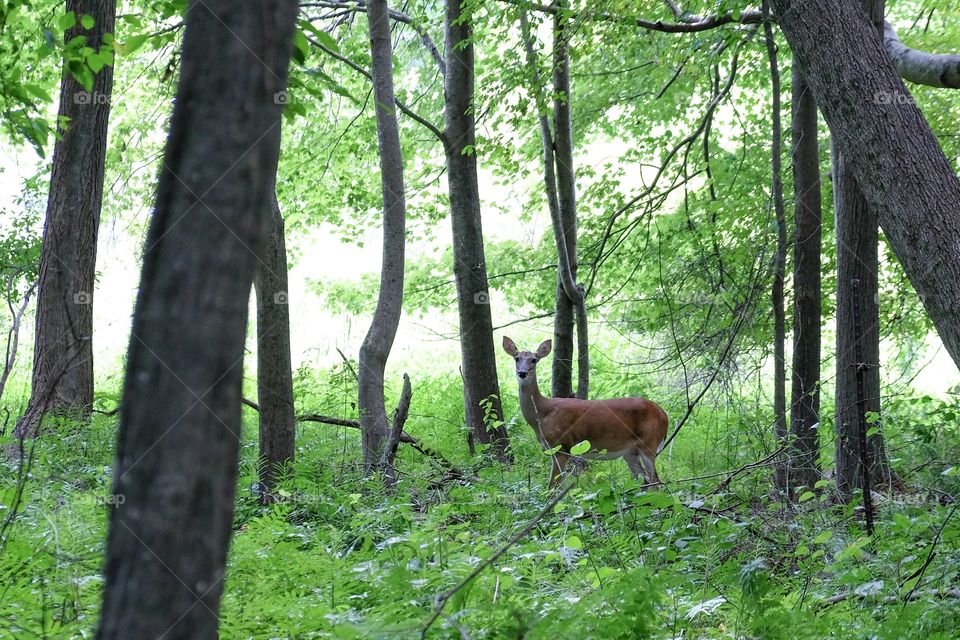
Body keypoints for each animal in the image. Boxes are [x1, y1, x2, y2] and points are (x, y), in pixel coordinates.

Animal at [502, 338, 668, 488]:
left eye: (534, 360)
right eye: (517, 358)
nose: (522, 373)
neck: (542, 414)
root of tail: (664, 414)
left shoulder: (561, 447)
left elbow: (552, 487)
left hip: (649, 442)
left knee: (656, 482)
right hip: (630, 452)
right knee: (645, 481)